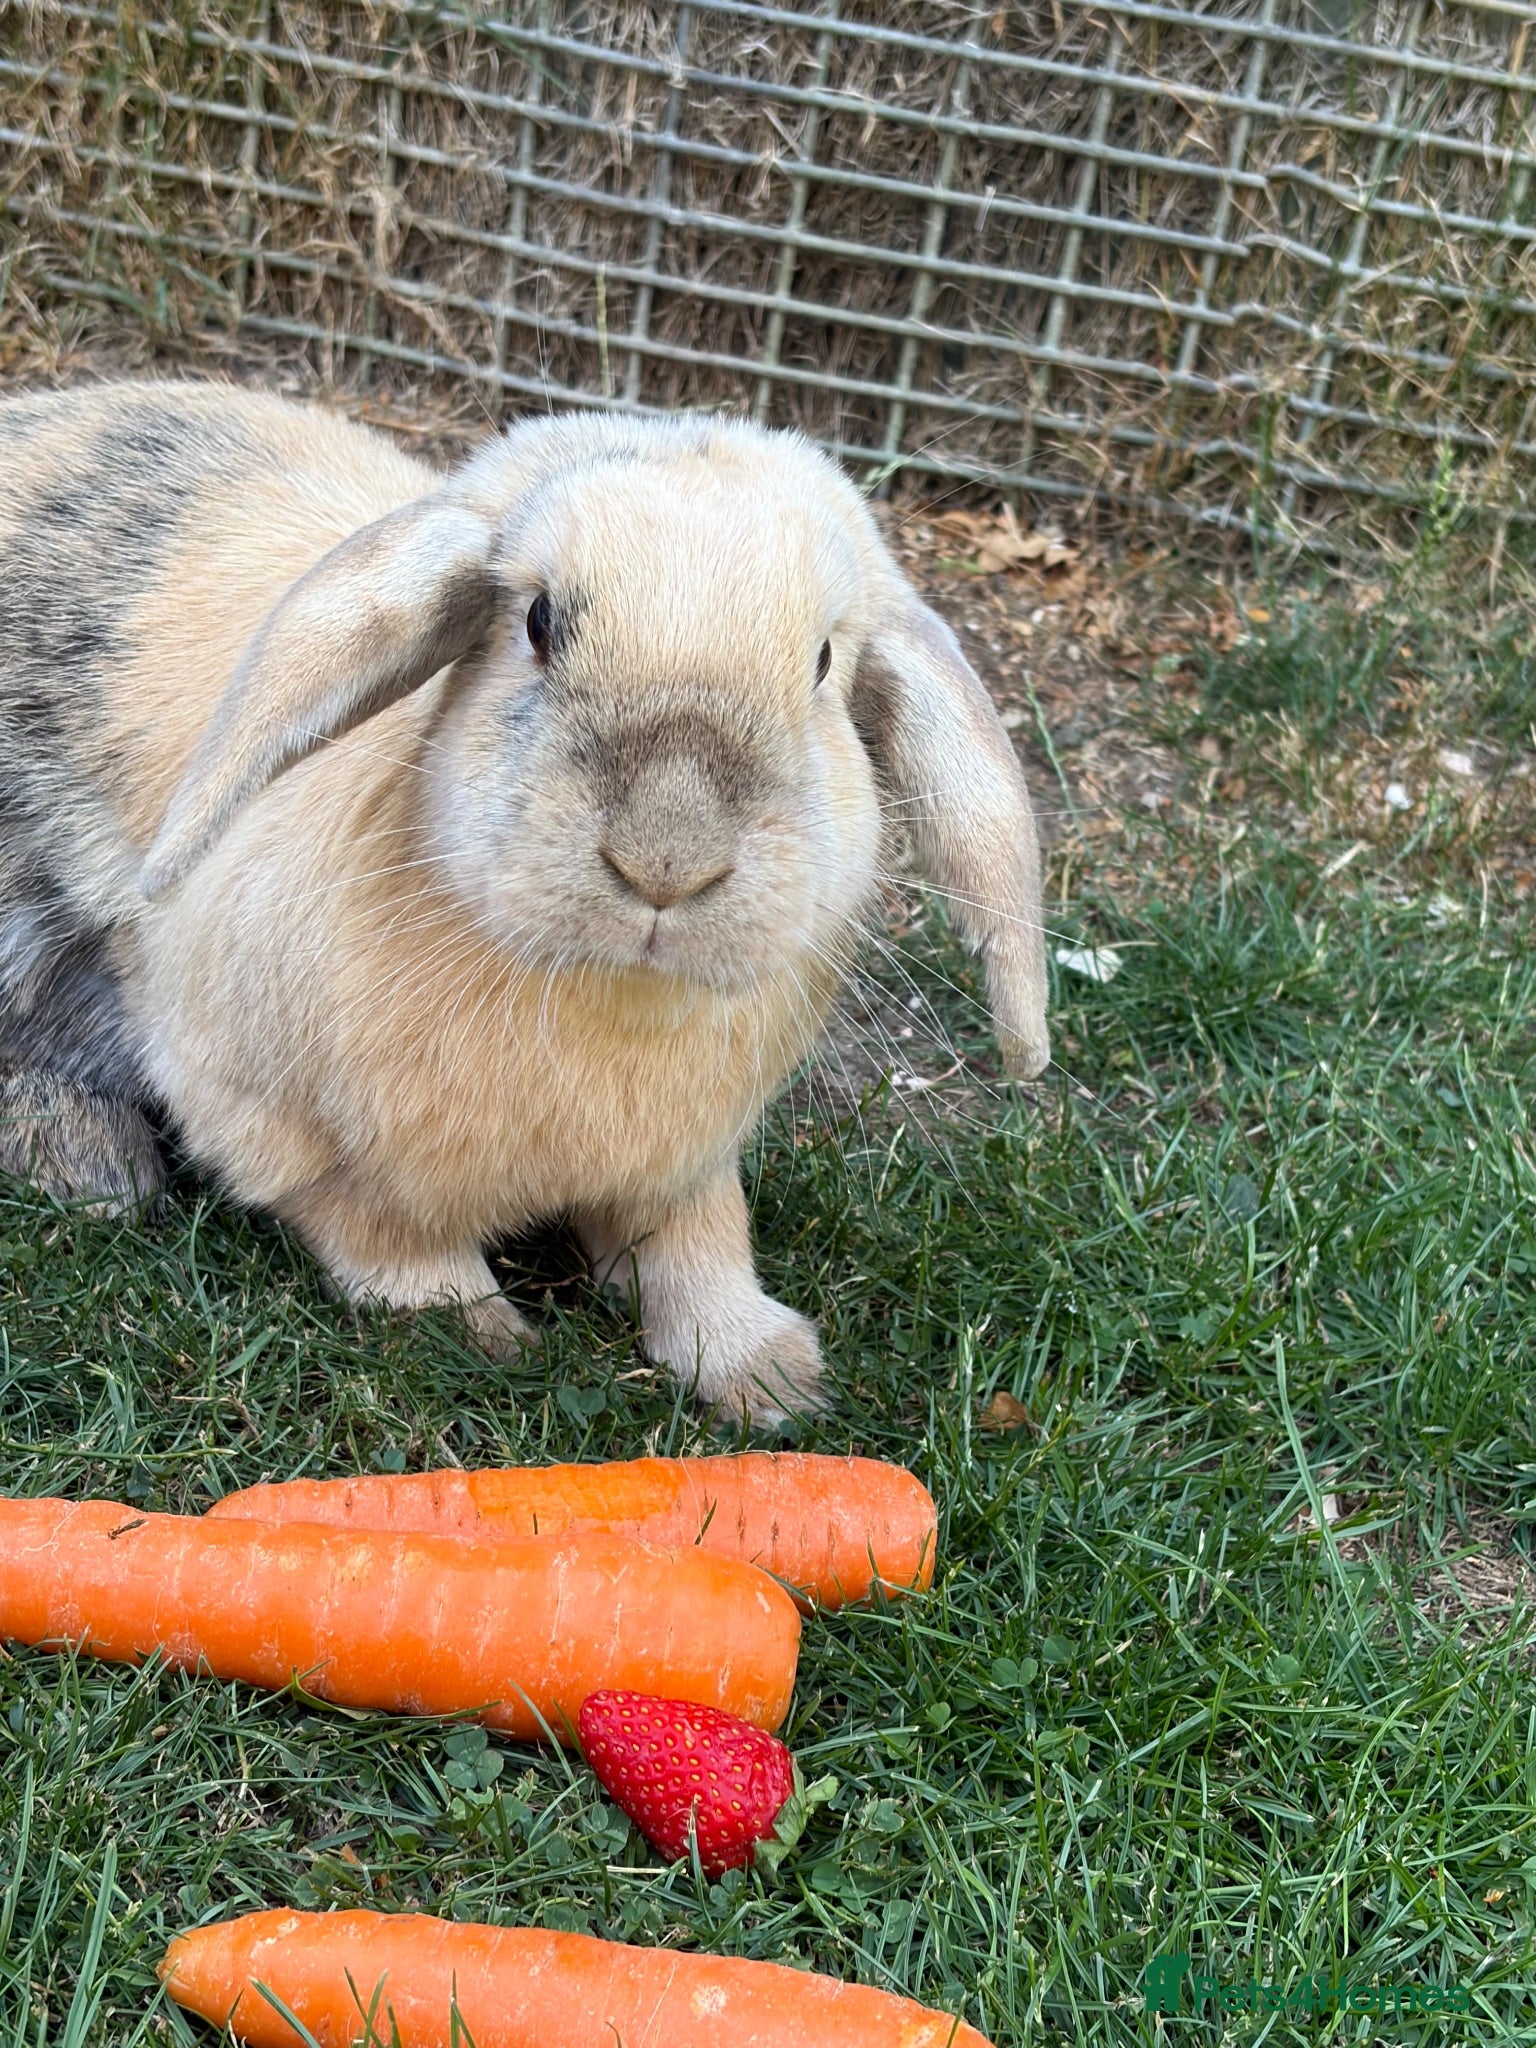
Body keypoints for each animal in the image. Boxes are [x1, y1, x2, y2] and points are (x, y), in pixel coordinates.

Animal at [0, 378, 1049, 1421]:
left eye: (823, 664)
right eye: (539, 623)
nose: (667, 861)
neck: (611, 999)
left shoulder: (684, 1167)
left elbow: (699, 1244)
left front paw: (767, 1375)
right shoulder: (262, 1115)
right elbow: (377, 1231)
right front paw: (478, 1329)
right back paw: (90, 1167)